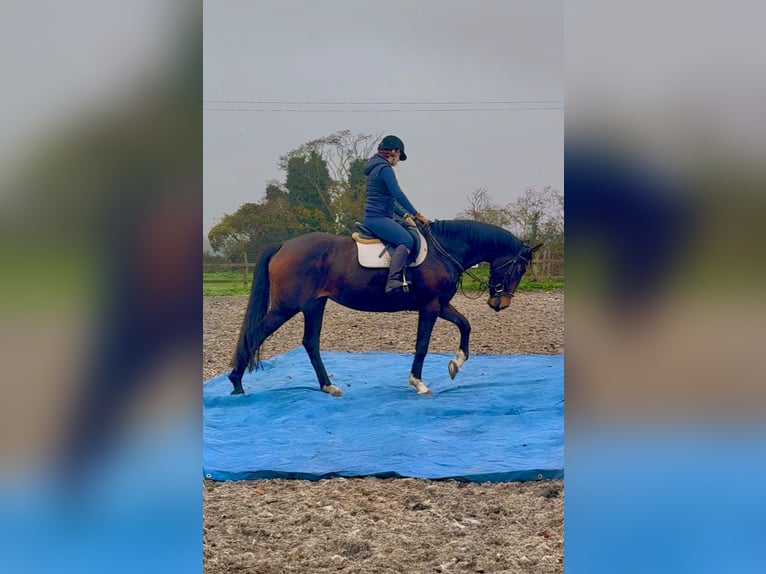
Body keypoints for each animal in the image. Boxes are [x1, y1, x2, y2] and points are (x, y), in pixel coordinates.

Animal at [228, 219, 542, 396]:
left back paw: (328, 386)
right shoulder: (430, 306)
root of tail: (283, 245)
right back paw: (236, 383)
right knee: (255, 335)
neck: (444, 250)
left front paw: (456, 364)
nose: (500, 303)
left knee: (310, 343)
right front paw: (418, 383)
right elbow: (422, 345)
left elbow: (465, 324)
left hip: (314, 305)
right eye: (519, 269)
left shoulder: (440, 304)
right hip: (287, 307)